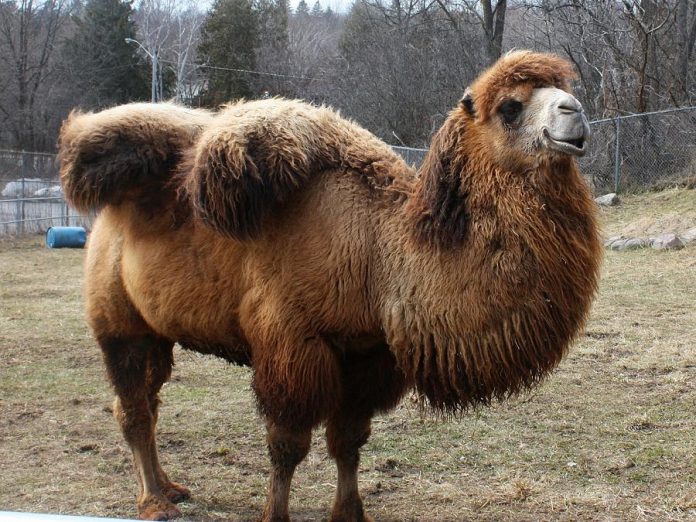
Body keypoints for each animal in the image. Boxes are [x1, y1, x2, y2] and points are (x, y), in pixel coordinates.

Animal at [59, 51, 600, 520]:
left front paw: (350, 512)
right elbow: (288, 444)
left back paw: (170, 487)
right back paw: (155, 502)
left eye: (565, 90)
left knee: (147, 400)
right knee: (133, 407)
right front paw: (274, 515)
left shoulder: (367, 353)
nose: (575, 113)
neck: (380, 254)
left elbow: (349, 439)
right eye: (510, 107)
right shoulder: (292, 342)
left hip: (157, 331)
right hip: (117, 321)